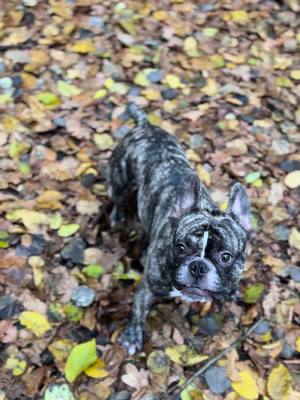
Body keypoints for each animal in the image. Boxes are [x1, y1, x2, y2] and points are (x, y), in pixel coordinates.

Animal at [109, 103, 250, 354]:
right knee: (117, 197)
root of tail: (145, 125)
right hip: (120, 179)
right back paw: (117, 216)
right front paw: (132, 335)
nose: (198, 266)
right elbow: (138, 309)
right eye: (180, 248)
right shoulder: (148, 287)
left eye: (225, 257)